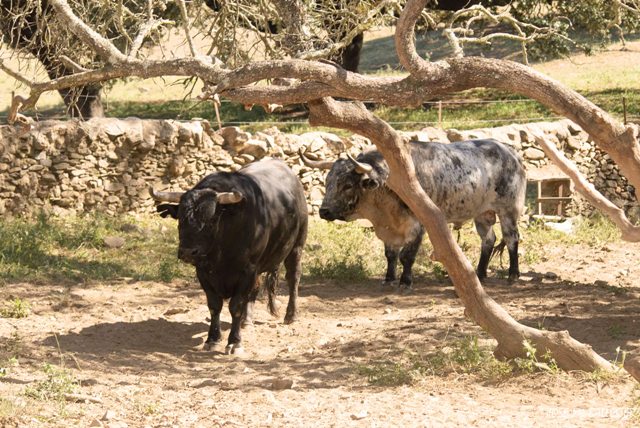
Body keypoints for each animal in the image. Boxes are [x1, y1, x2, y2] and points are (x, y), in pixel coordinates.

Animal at [151, 159, 308, 352]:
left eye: (212, 220)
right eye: (180, 218)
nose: (187, 252)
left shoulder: (247, 271)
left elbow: (236, 306)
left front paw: (234, 342)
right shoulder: (203, 272)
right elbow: (214, 306)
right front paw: (212, 339)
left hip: (296, 247)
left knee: (293, 277)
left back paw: (291, 315)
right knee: (255, 289)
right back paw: (247, 321)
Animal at [302, 139, 528, 290]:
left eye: (348, 185)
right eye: (327, 182)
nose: (324, 211)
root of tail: (510, 152)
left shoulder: (418, 225)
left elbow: (406, 255)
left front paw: (405, 281)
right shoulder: (390, 230)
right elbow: (391, 255)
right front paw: (389, 278)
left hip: (509, 210)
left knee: (511, 239)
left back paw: (513, 274)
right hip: (482, 214)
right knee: (488, 240)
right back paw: (480, 274)